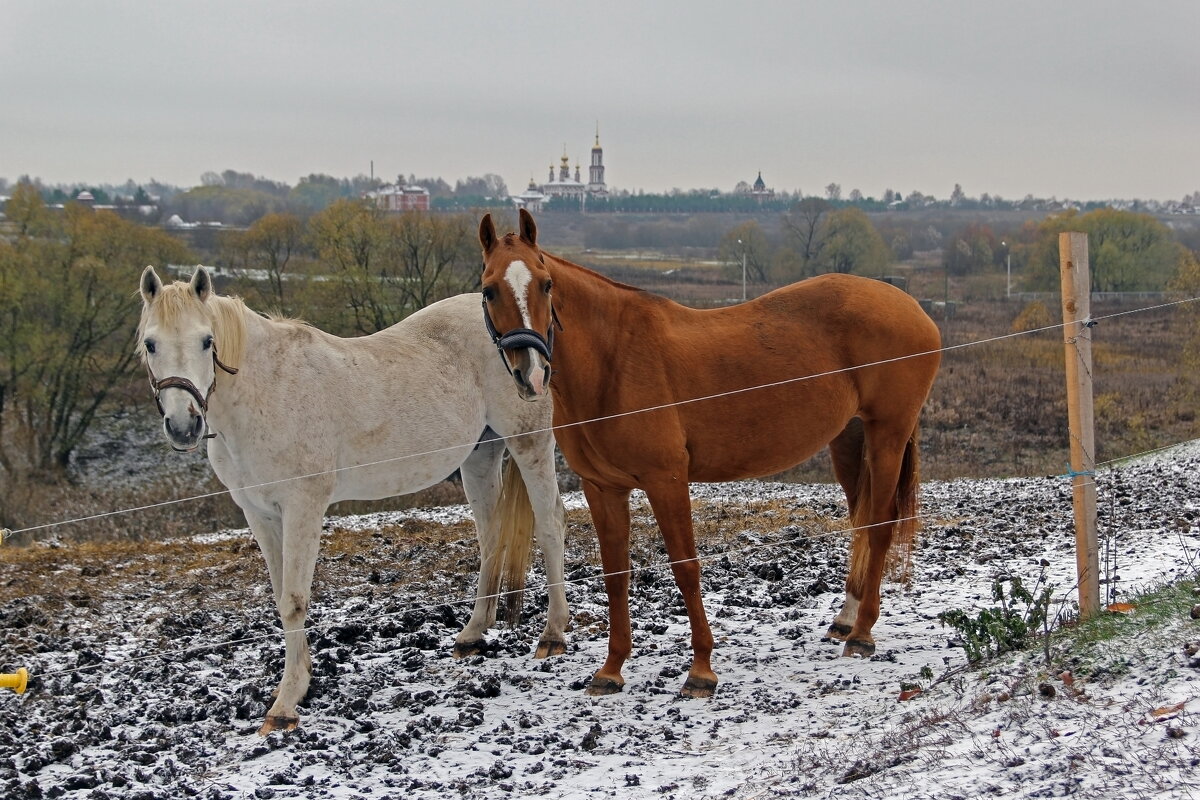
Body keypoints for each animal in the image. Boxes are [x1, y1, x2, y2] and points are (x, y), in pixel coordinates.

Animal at [138, 266, 568, 734]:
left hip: (529, 442)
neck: (266, 389)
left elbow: (294, 600)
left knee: (550, 525)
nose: (183, 426)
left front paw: (286, 704)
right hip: (480, 455)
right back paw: (472, 636)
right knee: (491, 537)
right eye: (150, 343)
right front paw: (301, 680)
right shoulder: (259, 513)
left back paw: (553, 636)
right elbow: (281, 596)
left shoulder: (303, 507)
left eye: (206, 341)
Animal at [475, 209, 936, 695]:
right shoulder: (603, 488)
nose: (532, 373)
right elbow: (616, 575)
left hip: (887, 435)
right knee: (862, 523)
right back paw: (845, 621)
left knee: (881, 525)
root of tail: (912, 307)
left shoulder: (667, 480)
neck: (613, 358)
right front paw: (611, 669)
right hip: (849, 441)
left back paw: (862, 633)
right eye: (489, 290)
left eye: (546, 284)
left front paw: (700, 670)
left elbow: (686, 568)